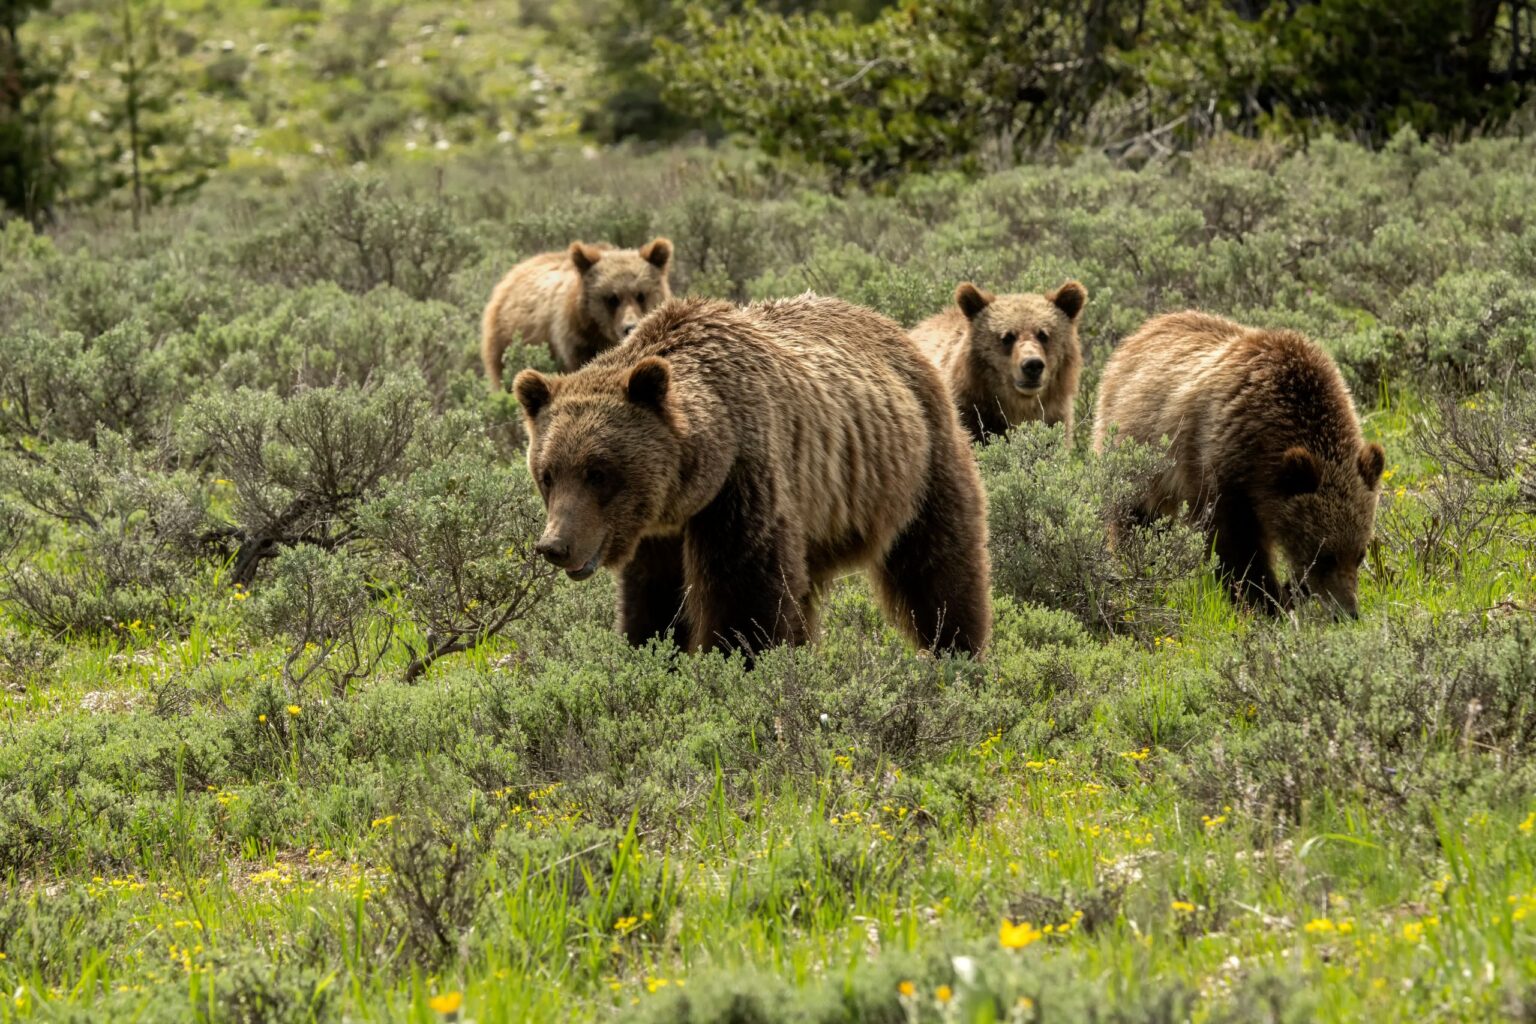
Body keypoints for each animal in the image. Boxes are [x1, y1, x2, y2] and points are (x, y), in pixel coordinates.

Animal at [512, 294, 993, 656]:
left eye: (598, 473)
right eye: (548, 474)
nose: (555, 545)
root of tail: (894, 327)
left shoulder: (744, 482)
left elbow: (745, 598)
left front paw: (740, 665)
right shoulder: (659, 534)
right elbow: (655, 603)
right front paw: (652, 653)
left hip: (917, 462)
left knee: (939, 566)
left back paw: (958, 651)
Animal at [1092, 311, 1386, 618]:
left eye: (1360, 553)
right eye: (1324, 555)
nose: (1348, 612)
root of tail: (1139, 332)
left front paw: (1288, 593)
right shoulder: (1218, 463)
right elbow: (1234, 545)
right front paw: (1265, 600)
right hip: (1133, 448)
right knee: (1135, 519)